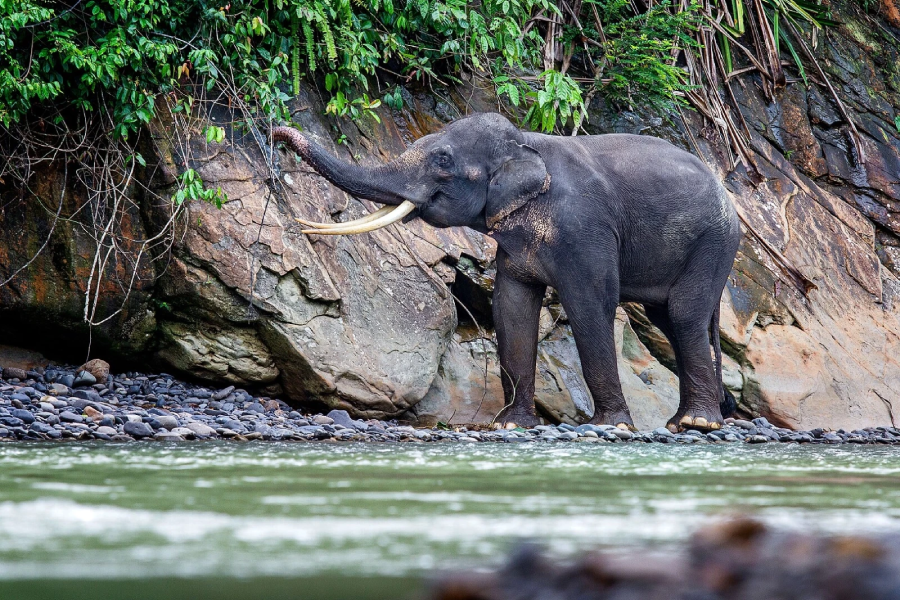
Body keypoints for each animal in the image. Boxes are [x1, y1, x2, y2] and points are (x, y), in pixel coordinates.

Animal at [273, 112, 741, 432]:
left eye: (443, 160)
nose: (277, 132)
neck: (526, 142)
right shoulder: (515, 246)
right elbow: (512, 309)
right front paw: (511, 424)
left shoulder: (584, 229)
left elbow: (590, 305)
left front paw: (611, 426)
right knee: (670, 319)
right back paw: (685, 422)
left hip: (715, 243)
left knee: (684, 314)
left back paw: (697, 424)